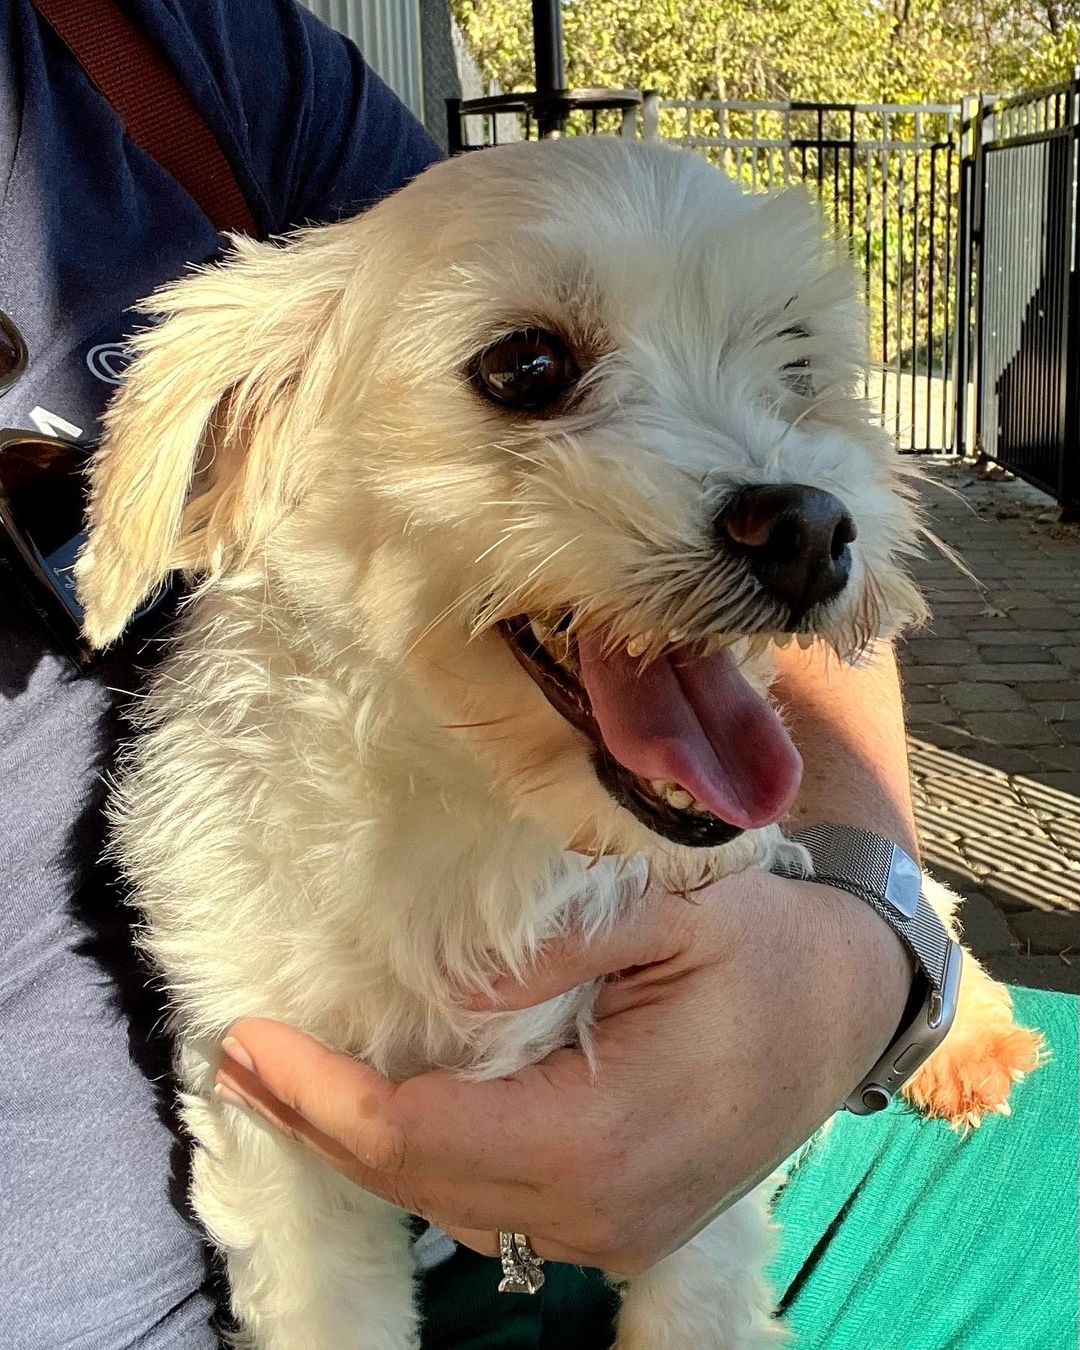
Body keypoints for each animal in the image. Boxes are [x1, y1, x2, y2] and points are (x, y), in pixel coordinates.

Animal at [73, 142, 1036, 1344]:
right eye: (525, 364)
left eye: (798, 363)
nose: (812, 529)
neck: (466, 830)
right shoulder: (270, 1121)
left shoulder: (699, 1148)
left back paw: (975, 1040)